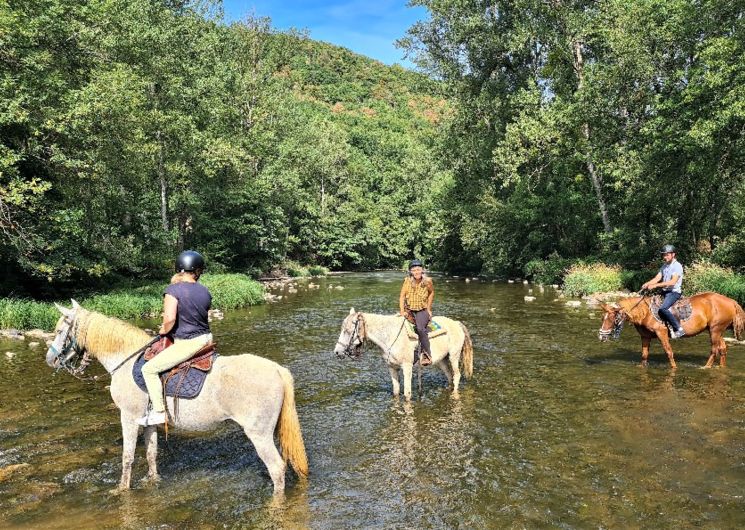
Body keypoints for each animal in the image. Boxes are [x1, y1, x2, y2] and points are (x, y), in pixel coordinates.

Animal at [46, 300, 308, 492]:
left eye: (59, 330)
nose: (50, 360)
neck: (126, 359)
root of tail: (277, 369)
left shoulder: (128, 417)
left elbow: (127, 457)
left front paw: (121, 490)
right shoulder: (148, 422)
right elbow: (151, 453)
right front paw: (152, 481)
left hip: (259, 434)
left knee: (276, 468)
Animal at [600, 288, 744, 368]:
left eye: (612, 318)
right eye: (603, 318)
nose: (601, 336)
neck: (645, 312)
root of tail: (732, 302)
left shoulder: (662, 333)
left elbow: (669, 352)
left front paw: (674, 368)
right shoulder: (645, 336)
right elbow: (644, 355)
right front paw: (642, 366)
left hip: (715, 330)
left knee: (714, 350)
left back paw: (705, 367)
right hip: (718, 331)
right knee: (722, 349)